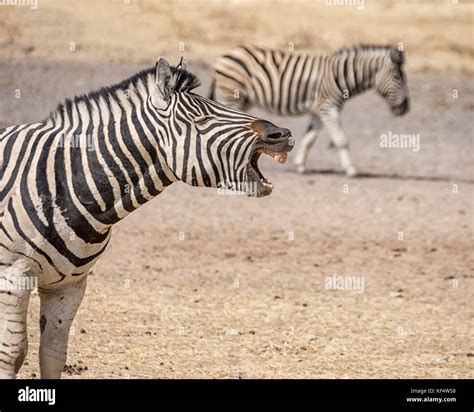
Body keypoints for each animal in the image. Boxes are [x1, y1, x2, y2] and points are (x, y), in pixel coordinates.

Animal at [0, 58, 292, 380]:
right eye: (201, 120)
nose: (282, 134)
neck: (68, 181)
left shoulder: (69, 284)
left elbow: (53, 353)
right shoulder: (13, 277)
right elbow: (12, 353)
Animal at [209, 45, 410, 177]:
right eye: (397, 77)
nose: (406, 108)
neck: (341, 76)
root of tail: (226, 54)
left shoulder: (319, 112)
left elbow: (309, 139)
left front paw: (300, 166)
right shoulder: (328, 106)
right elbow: (341, 140)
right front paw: (351, 170)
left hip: (244, 99)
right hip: (232, 93)